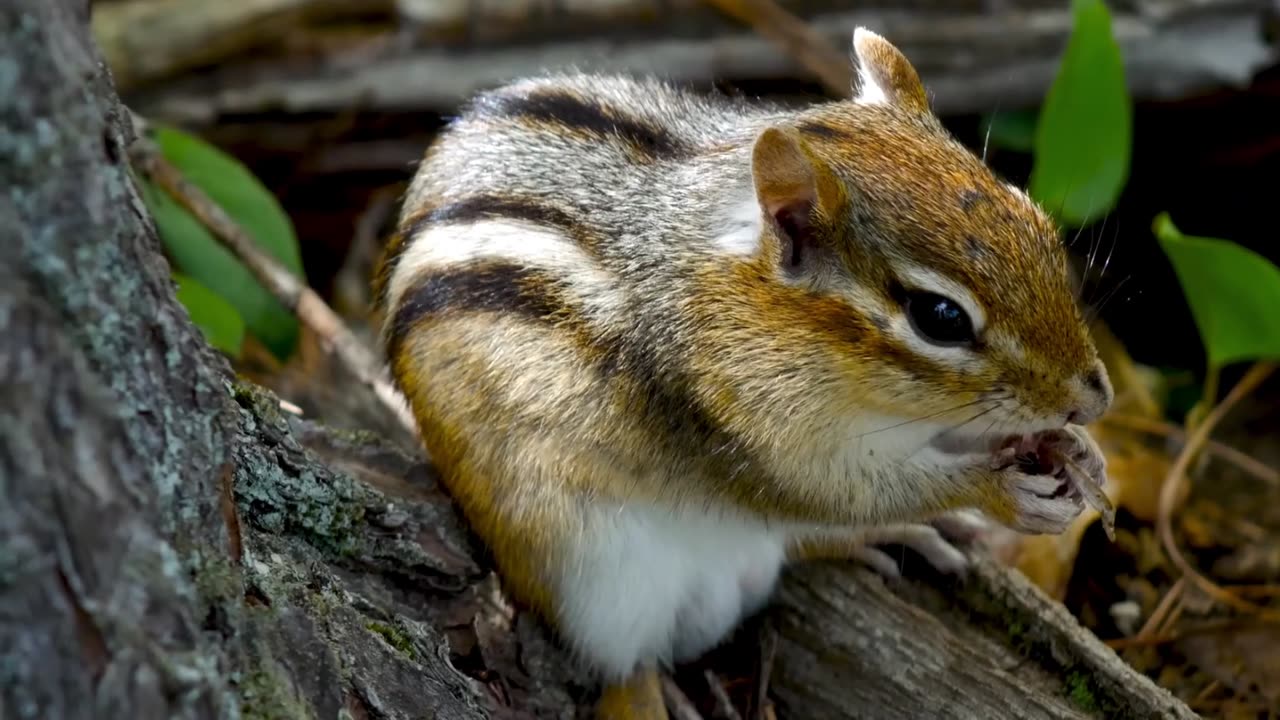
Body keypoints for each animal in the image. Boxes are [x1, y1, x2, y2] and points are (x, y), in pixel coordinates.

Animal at [372, 27, 1114, 720]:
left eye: (1036, 218)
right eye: (940, 317)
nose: (1095, 399)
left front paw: (1078, 453)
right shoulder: (738, 425)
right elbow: (836, 491)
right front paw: (1001, 491)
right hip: (599, 585)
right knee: (627, 671)